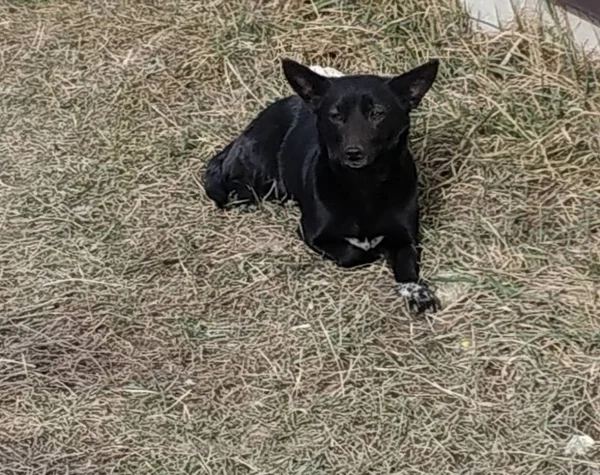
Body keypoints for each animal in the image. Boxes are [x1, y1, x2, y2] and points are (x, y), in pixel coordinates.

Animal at [206, 57, 440, 314]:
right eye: (335, 115)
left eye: (377, 113)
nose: (353, 153)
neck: (363, 184)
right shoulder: (313, 235)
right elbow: (353, 253)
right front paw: (371, 250)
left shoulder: (405, 238)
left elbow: (407, 268)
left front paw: (417, 293)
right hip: (258, 176)